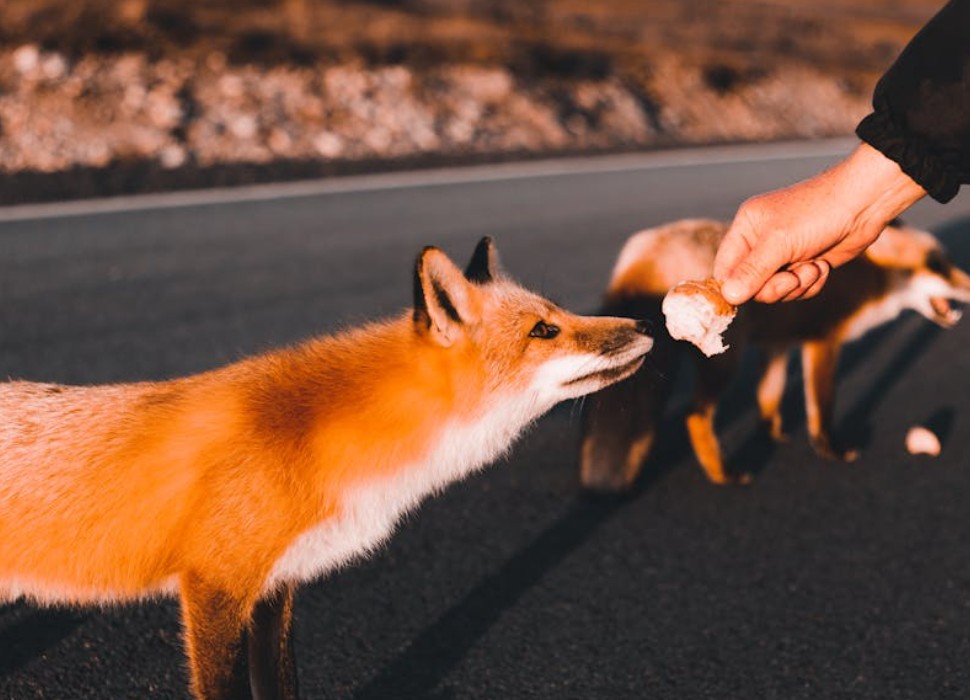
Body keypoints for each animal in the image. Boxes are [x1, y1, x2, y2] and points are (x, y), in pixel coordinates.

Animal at [0, 238, 652, 700]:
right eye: (545, 330)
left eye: (558, 313)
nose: (646, 324)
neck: (309, 436)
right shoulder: (215, 585)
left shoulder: (276, 588)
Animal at [580, 218, 970, 490]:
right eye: (936, 265)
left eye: (948, 262)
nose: (969, 287)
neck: (867, 277)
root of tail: (650, 244)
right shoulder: (823, 342)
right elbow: (822, 407)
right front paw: (831, 450)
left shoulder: (778, 345)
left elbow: (770, 393)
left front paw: (772, 433)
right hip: (725, 361)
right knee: (694, 416)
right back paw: (723, 474)